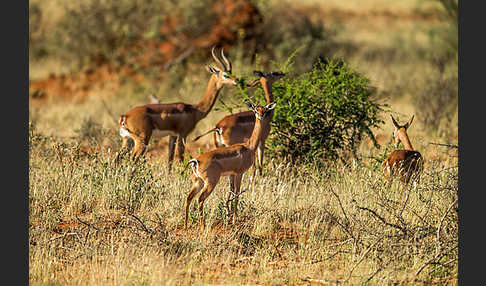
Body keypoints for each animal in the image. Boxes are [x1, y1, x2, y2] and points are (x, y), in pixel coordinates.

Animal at [185, 100, 278, 230]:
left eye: (264, 110)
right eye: (255, 110)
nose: (260, 116)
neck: (249, 146)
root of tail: (195, 161)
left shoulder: (231, 174)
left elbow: (231, 192)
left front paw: (229, 217)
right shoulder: (239, 173)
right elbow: (237, 194)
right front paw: (234, 220)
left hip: (198, 182)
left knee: (188, 197)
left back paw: (186, 225)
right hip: (210, 183)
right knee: (200, 199)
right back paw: (202, 226)